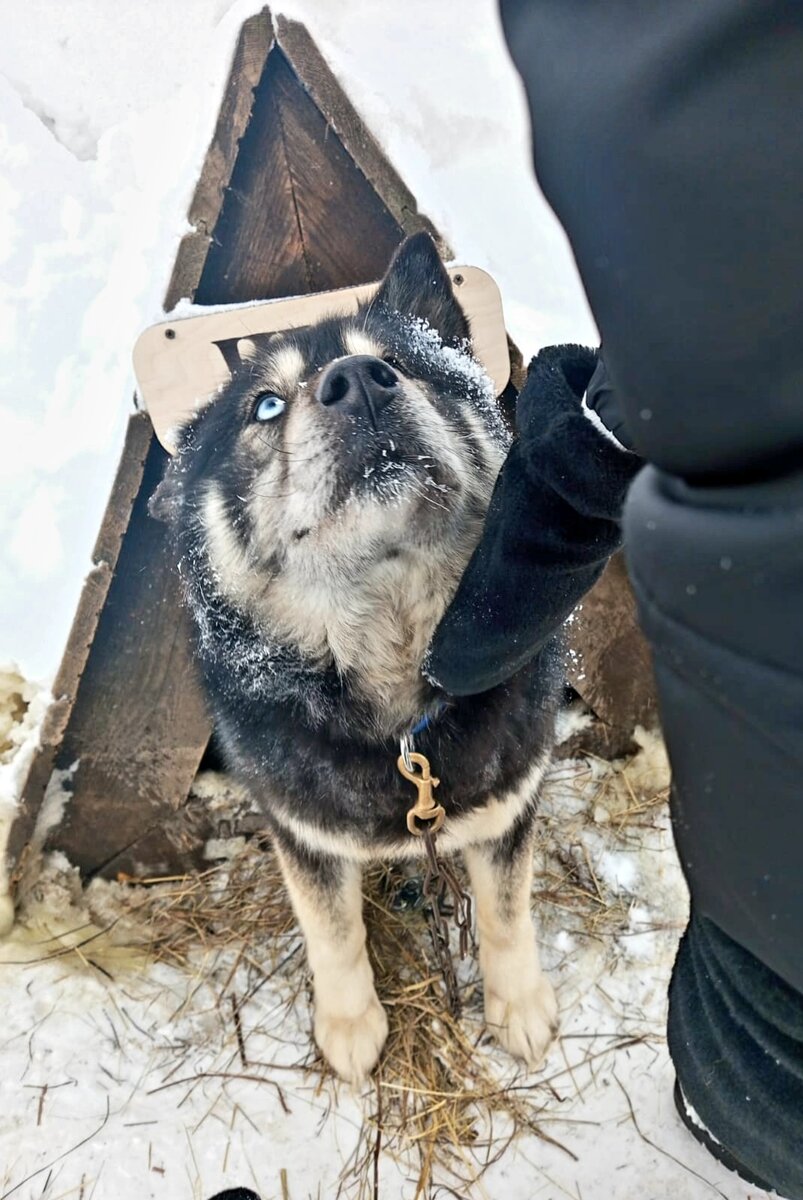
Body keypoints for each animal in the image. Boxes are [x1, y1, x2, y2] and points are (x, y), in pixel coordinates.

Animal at [153, 234, 561, 1089]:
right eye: (266, 406)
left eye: (400, 362)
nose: (360, 382)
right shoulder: (302, 831)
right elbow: (331, 932)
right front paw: (349, 1026)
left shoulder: (507, 804)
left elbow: (506, 912)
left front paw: (517, 1006)